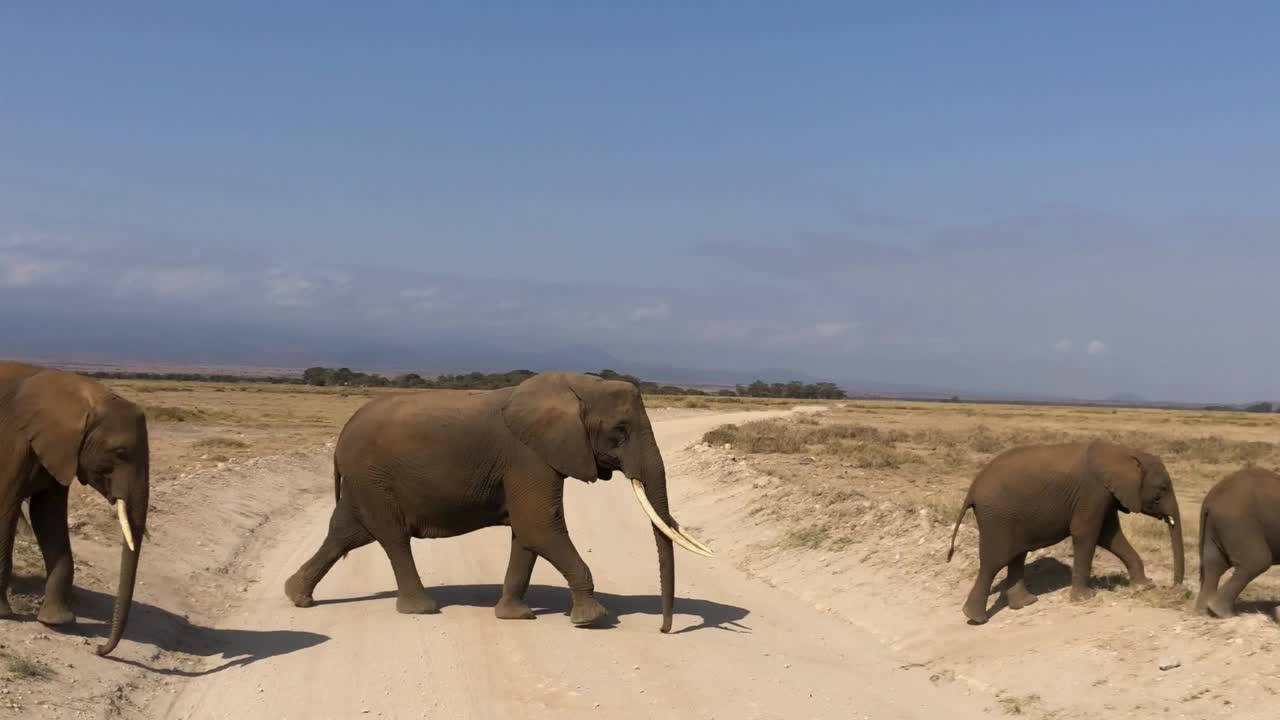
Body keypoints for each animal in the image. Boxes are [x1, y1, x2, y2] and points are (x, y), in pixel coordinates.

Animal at [0, 362, 149, 656]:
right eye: (120, 453)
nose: (100, 649)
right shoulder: (13, 443)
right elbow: (6, 507)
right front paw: (3, 614)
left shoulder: (59, 453)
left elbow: (48, 516)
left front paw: (56, 621)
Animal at [284, 371, 713, 632]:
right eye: (620, 431)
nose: (664, 629)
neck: (578, 385)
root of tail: (341, 436)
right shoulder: (528, 456)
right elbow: (539, 526)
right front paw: (591, 619)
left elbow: (527, 534)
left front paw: (514, 616)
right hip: (373, 478)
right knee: (392, 537)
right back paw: (422, 608)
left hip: (364, 481)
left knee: (346, 532)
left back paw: (298, 597)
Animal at [946, 440, 1185, 624]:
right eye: (1162, 489)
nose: (1175, 588)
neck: (1125, 453)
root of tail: (972, 489)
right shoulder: (1093, 491)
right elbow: (1086, 533)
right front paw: (1085, 598)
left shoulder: (1105, 495)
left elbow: (1111, 537)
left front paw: (1144, 586)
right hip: (997, 517)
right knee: (994, 562)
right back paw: (976, 618)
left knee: (1017, 556)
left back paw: (1025, 604)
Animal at [1195, 467, 1280, 618]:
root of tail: (1210, 500)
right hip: (1238, 523)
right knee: (1257, 562)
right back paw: (1223, 613)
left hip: (1215, 525)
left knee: (1213, 564)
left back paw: (1203, 612)